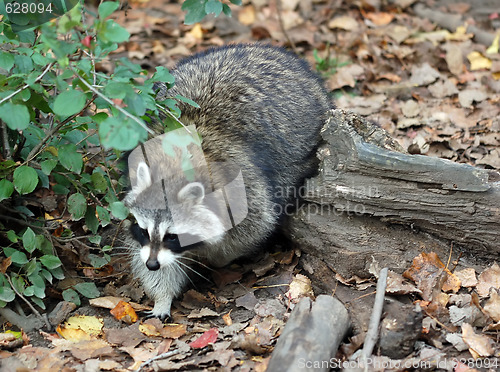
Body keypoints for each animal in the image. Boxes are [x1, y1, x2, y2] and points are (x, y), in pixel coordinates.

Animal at [123, 42, 332, 316]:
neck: (174, 164)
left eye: (172, 236)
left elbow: (251, 229)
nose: (152, 265)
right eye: (143, 231)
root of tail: (273, 51)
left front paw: (215, 255)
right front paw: (162, 295)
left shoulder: (245, 187)